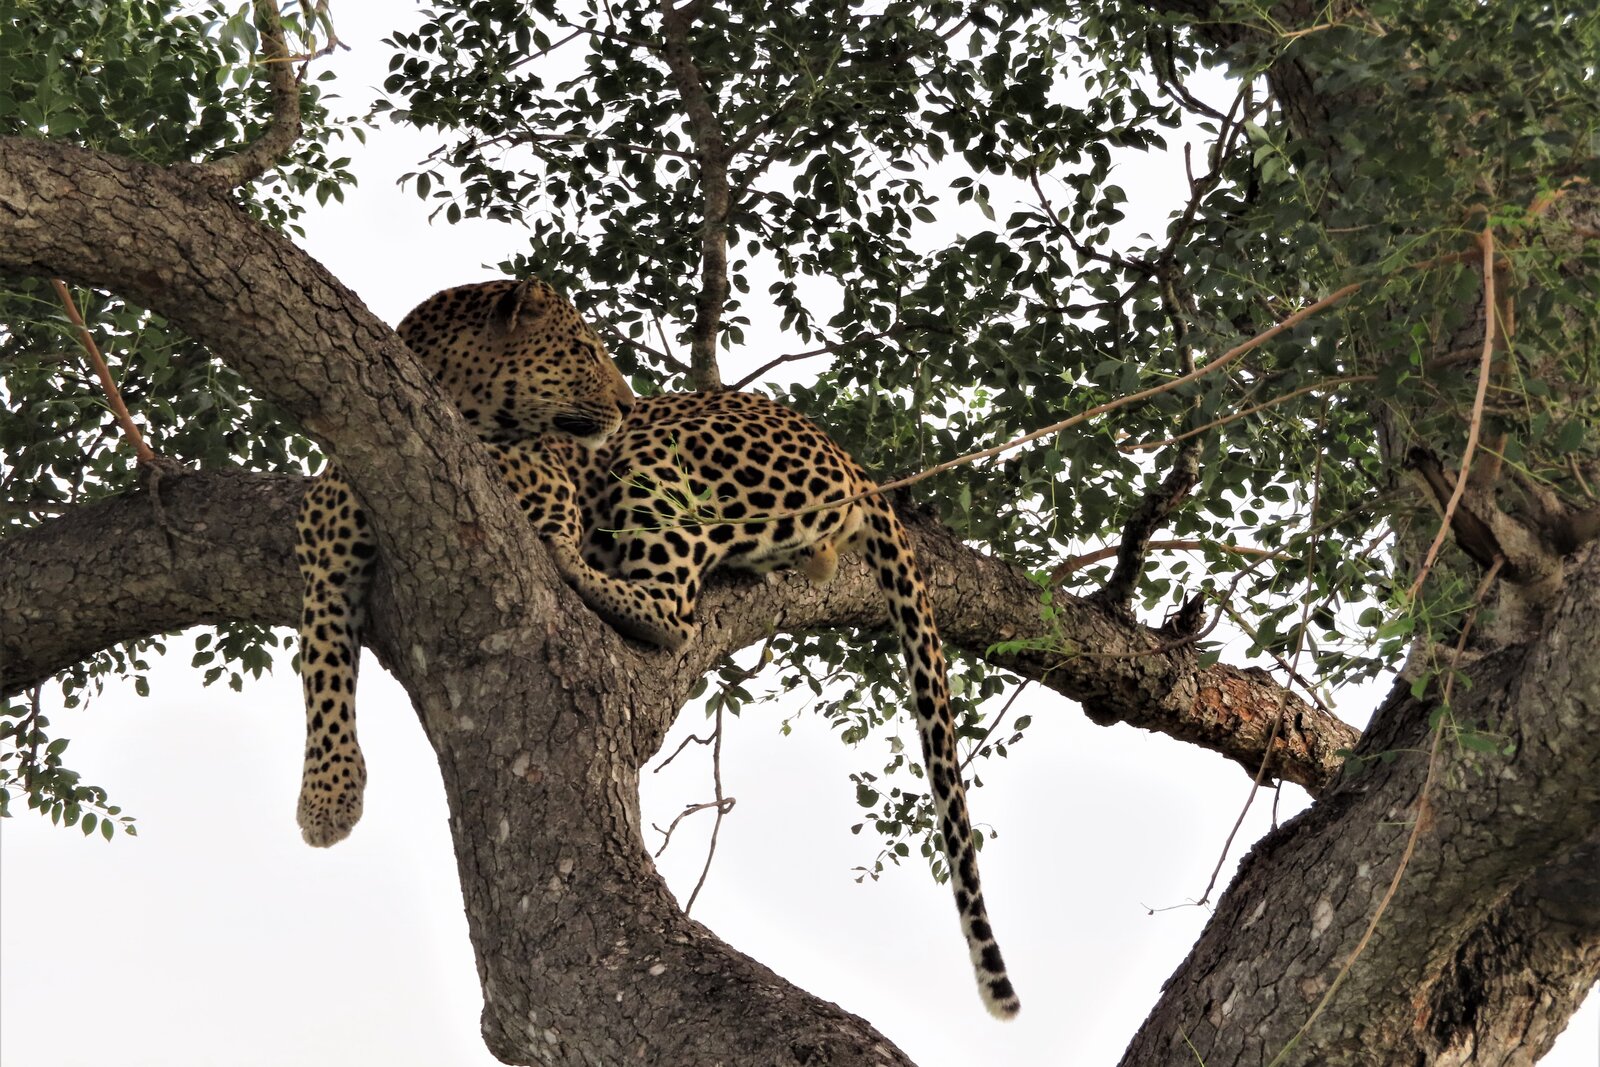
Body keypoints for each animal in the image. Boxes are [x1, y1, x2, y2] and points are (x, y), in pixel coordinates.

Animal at [294, 278, 1019, 1019]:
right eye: (583, 350)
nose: (623, 405)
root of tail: (847, 455)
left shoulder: (546, 485)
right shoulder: (325, 538)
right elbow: (320, 659)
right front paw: (328, 793)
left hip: (665, 461)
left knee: (674, 610)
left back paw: (579, 568)